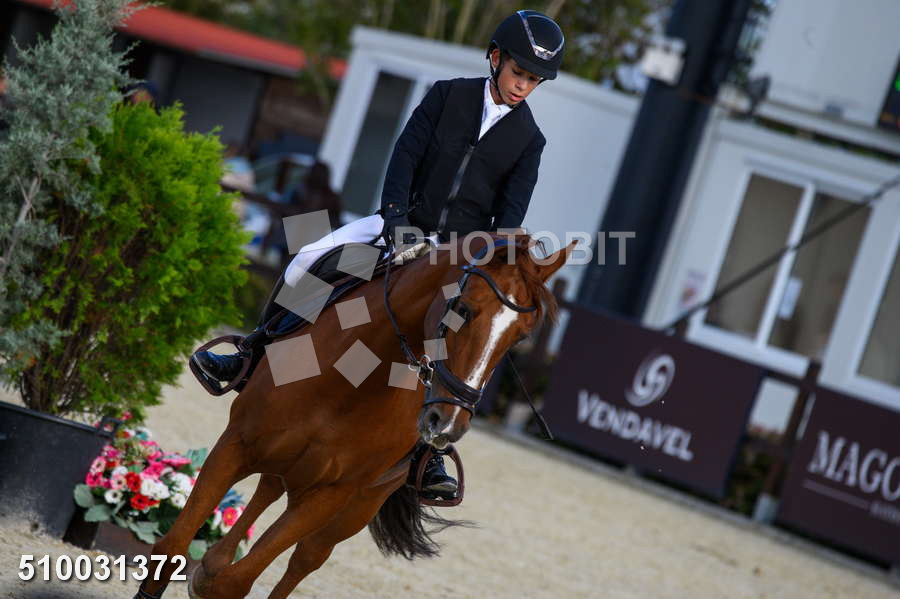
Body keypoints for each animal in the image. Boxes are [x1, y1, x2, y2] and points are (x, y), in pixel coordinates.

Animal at [134, 233, 575, 599]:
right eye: (463, 310)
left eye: (520, 336)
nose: (448, 424)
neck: (354, 376)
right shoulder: (236, 444)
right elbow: (170, 550)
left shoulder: (334, 493)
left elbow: (237, 582)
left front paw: (216, 579)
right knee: (268, 492)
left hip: (357, 505)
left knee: (303, 559)